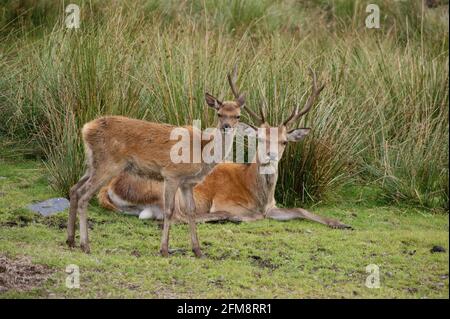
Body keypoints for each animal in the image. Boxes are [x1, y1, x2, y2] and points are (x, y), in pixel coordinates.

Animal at [67, 67, 246, 258]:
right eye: (219, 114)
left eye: (238, 116)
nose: (226, 126)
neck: (202, 151)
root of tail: (86, 129)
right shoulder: (171, 174)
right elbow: (169, 210)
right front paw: (164, 249)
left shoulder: (187, 183)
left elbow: (191, 211)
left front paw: (198, 251)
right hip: (108, 165)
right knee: (84, 195)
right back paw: (85, 245)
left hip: (91, 164)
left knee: (74, 189)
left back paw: (70, 241)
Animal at [97, 69, 352, 230]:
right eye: (260, 138)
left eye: (284, 142)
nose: (270, 156)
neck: (258, 194)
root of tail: (110, 186)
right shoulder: (225, 201)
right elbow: (254, 215)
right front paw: (238, 218)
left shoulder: (273, 206)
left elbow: (300, 209)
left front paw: (341, 223)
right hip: (167, 186)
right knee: (176, 217)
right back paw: (222, 218)